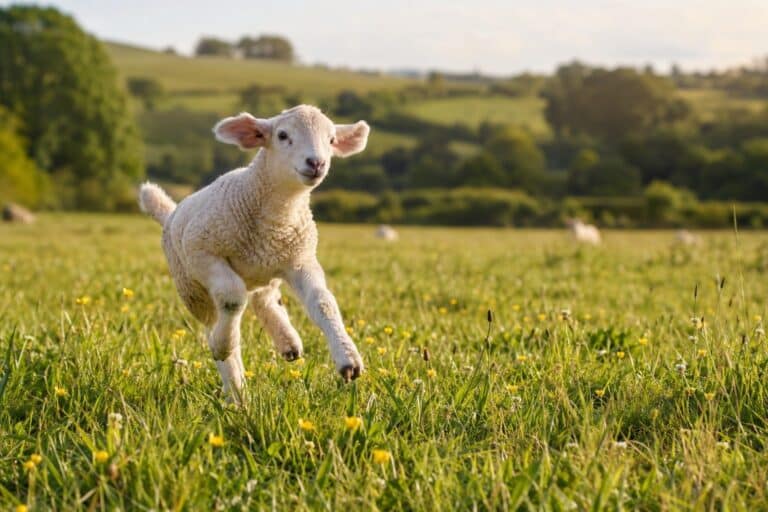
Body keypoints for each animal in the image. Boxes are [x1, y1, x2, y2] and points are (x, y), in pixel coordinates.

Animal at [138, 105, 370, 400]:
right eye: (282, 135)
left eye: (331, 140)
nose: (316, 163)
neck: (278, 217)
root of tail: (170, 213)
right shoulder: (202, 252)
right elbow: (232, 299)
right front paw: (222, 346)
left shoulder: (300, 259)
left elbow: (323, 302)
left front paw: (348, 360)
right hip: (192, 288)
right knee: (220, 317)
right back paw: (235, 389)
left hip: (264, 270)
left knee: (265, 300)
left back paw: (287, 342)